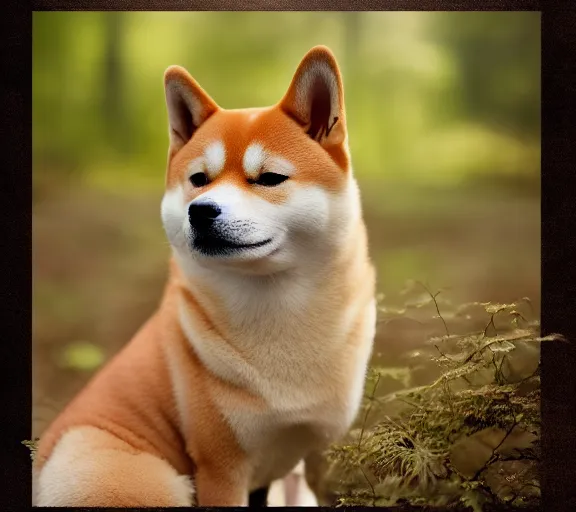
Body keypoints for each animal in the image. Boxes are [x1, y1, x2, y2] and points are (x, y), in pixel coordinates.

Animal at [33, 45, 376, 508]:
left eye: (269, 178)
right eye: (198, 180)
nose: (201, 210)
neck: (278, 310)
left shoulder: (294, 463)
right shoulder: (221, 468)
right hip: (148, 480)